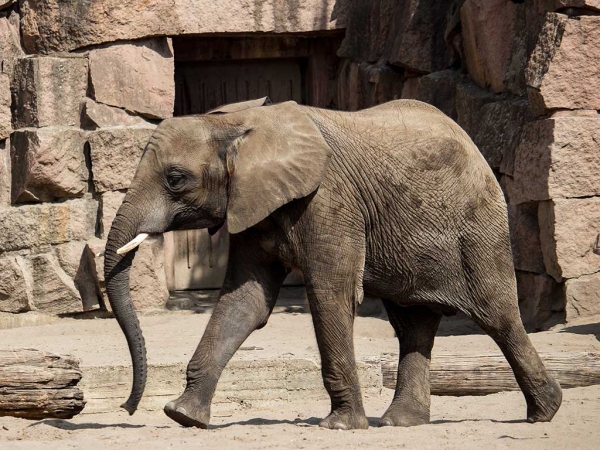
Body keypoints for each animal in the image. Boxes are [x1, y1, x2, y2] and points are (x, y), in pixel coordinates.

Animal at [104, 97, 564, 428]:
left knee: (498, 316)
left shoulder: (329, 199)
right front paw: (183, 416)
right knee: (412, 324)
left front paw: (340, 427)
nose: (127, 409)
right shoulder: (252, 205)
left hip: (479, 226)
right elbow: (245, 302)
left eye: (175, 179)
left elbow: (330, 294)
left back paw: (545, 412)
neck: (238, 123)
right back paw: (401, 423)